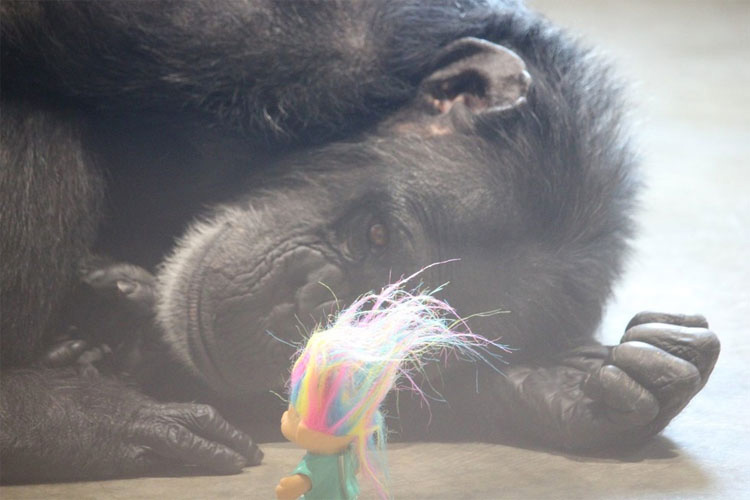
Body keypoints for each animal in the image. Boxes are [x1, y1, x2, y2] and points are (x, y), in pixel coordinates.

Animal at [0, 0, 724, 484]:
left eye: (408, 336)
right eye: (376, 233)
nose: (307, 308)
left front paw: (567, 386)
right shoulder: (267, 40)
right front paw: (67, 418)